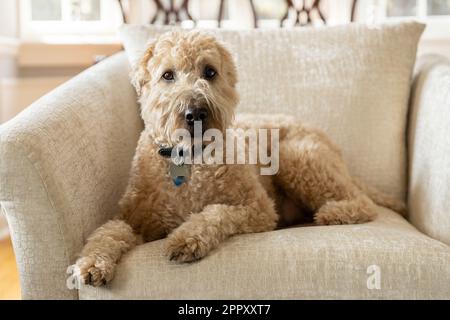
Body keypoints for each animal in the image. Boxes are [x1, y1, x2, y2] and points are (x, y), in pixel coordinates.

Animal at [74, 30, 404, 286]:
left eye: (210, 72)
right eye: (167, 75)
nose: (195, 113)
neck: (189, 160)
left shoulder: (258, 209)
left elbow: (215, 213)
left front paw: (185, 238)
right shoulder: (132, 219)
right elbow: (108, 231)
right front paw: (91, 263)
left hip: (296, 156)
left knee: (362, 202)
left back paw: (333, 213)